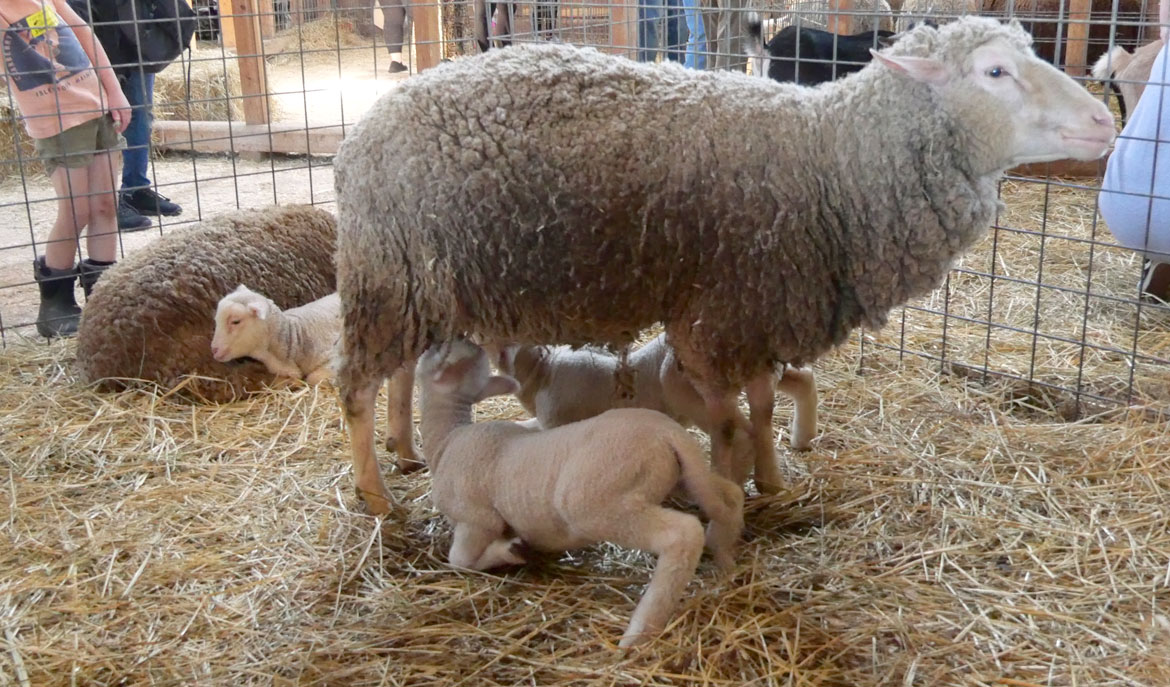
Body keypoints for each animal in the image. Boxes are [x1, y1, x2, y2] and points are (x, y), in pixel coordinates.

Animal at [415, 340, 744, 648]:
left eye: (440, 352)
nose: (453, 338)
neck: (446, 440)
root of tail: (669, 434)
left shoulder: (476, 519)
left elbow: (460, 560)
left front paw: (510, 551)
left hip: (599, 505)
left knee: (682, 534)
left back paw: (639, 631)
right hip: (685, 478)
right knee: (730, 495)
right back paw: (725, 558)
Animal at [491, 334, 818, 492]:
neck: (543, 372)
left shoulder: (557, 421)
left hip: (685, 387)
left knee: (738, 429)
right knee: (798, 381)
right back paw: (801, 439)